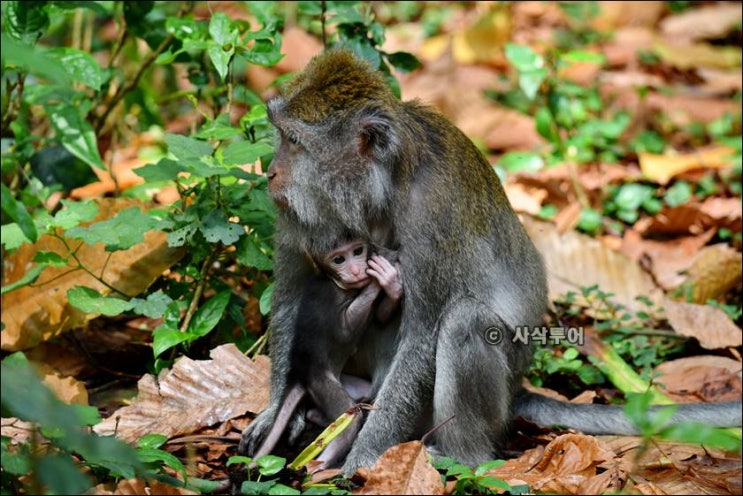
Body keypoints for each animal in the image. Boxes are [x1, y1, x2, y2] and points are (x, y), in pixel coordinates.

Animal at [249, 237, 403, 468]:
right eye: (339, 259)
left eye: (358, 251)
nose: (356, 270)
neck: (336, 282)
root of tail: (299, 375)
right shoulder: (327, 297)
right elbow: (344, 332)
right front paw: (379, 279)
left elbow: (379, 318)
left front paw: (390, 286)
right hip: (321, 383)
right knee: (350, 418)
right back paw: (320, 467)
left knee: (363, 393)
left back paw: (315, 416)